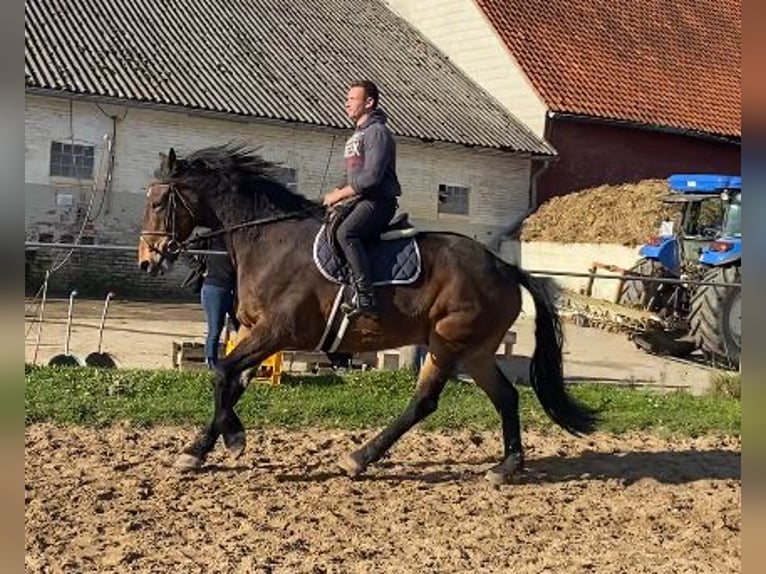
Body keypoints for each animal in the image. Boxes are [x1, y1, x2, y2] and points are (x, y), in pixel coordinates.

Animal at [141, 145, 604, 486]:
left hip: (448, 341)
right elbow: (230, 382)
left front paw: (234, 440)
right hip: (475, 351)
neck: (267, 239)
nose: (148, 259)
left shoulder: (277, 331)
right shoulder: (257, 333)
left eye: (160, 201)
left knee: (425, 401)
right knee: (504, 396)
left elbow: (220, 372)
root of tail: (505, 267)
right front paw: (198, 450)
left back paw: (360, 457)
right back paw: (507, 466)